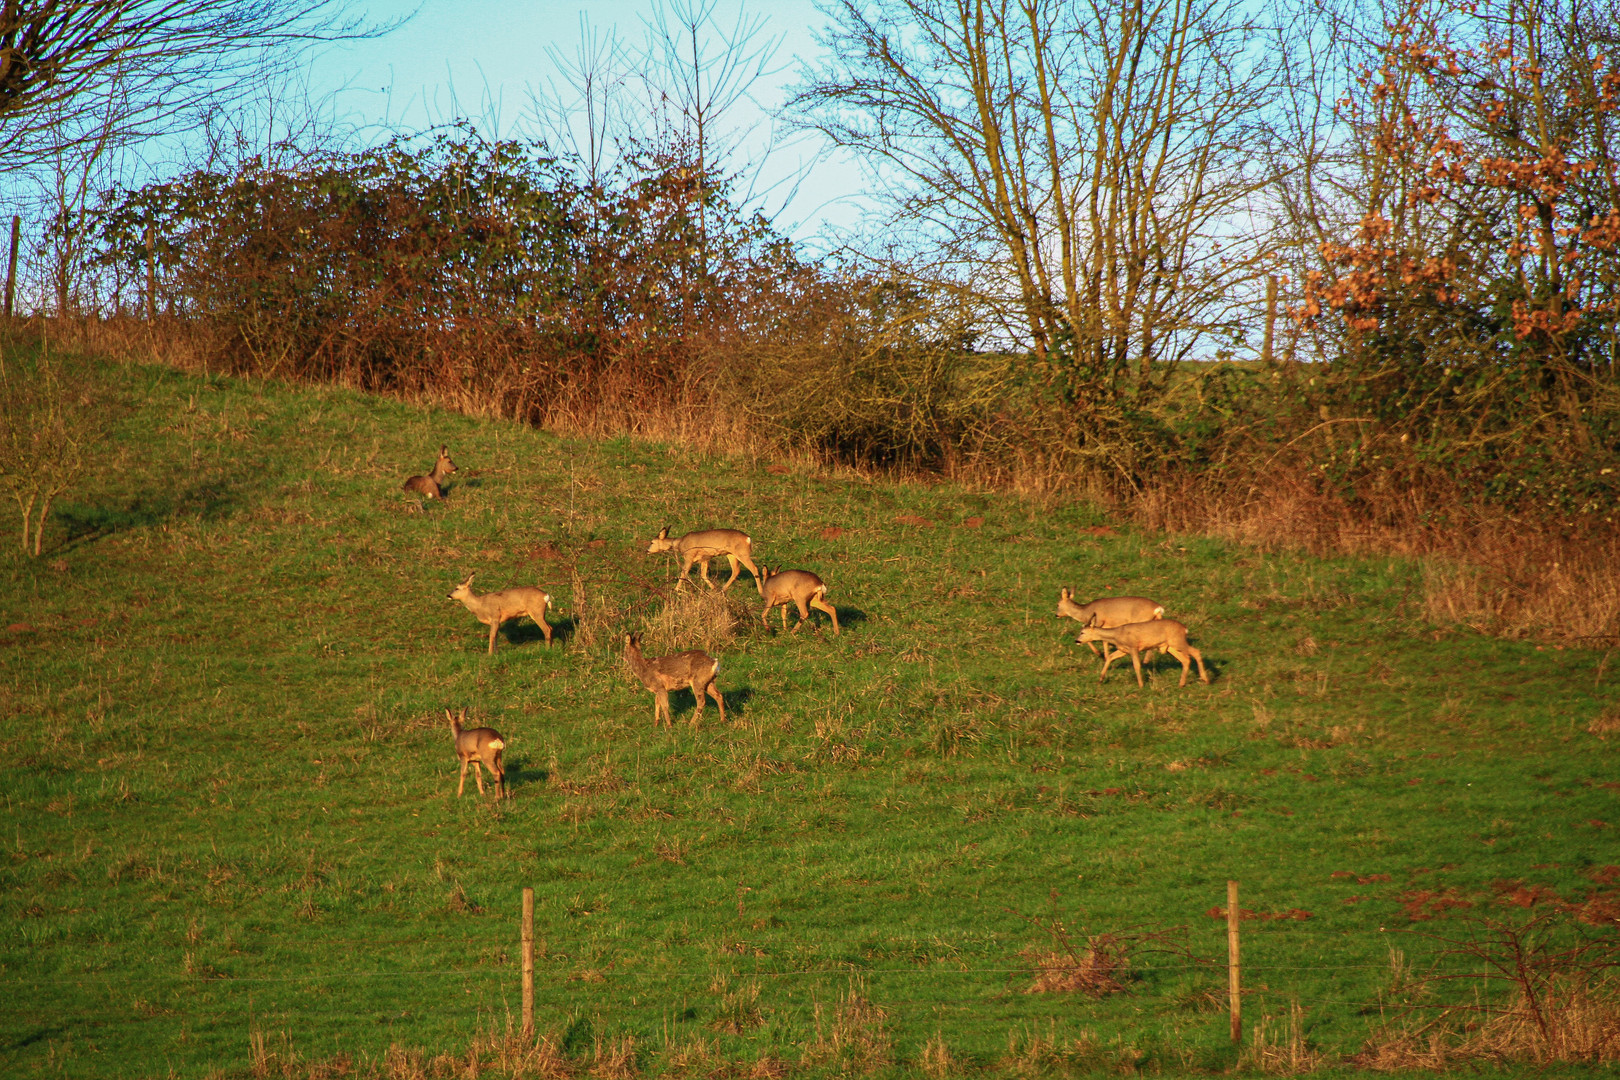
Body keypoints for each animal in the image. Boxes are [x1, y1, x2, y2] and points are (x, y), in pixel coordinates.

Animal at [1075, 621, 1205, 689]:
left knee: (1196, 652)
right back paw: (1181, 684)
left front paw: (1141, 685)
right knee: (1186, 660)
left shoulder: (1133, 647)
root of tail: (1184, 628)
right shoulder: (1124, 650)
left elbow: (1137, 665)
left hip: (1177, 641)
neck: (1117, 635)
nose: (1076, 641)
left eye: (1082, 632)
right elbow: (1110, 657)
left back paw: (1205, 679)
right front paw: (1100, 680)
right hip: (1170, 646)